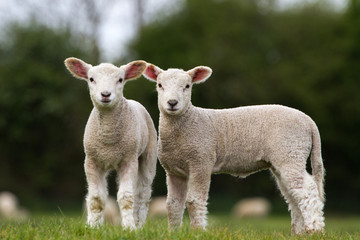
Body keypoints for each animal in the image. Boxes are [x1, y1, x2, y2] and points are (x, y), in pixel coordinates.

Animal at [65, 57, 158, 229]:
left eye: (120, 79)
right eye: (91, 79)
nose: (106, 94)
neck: (109, 140)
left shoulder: (129, 160)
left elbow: (126, 197)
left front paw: (129, 227)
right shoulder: (92, 161)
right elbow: (96, 198)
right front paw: (93, 226)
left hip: (148, 155)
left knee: (142, 194)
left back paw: (139, 224)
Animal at [143, 63, 326, 234]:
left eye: (187, 86)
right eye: (160, 85)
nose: (172, 103)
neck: (189, 121)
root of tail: (308, 120)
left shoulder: (201, 161)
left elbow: (194, 201)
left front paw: (198, 231)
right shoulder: (173, 171)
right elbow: (172, 204)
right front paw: (173, 232)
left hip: (291, 151)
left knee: (307, 189)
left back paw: (315, 229)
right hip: (284, 158)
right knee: (293, 195)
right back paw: (299, 232)